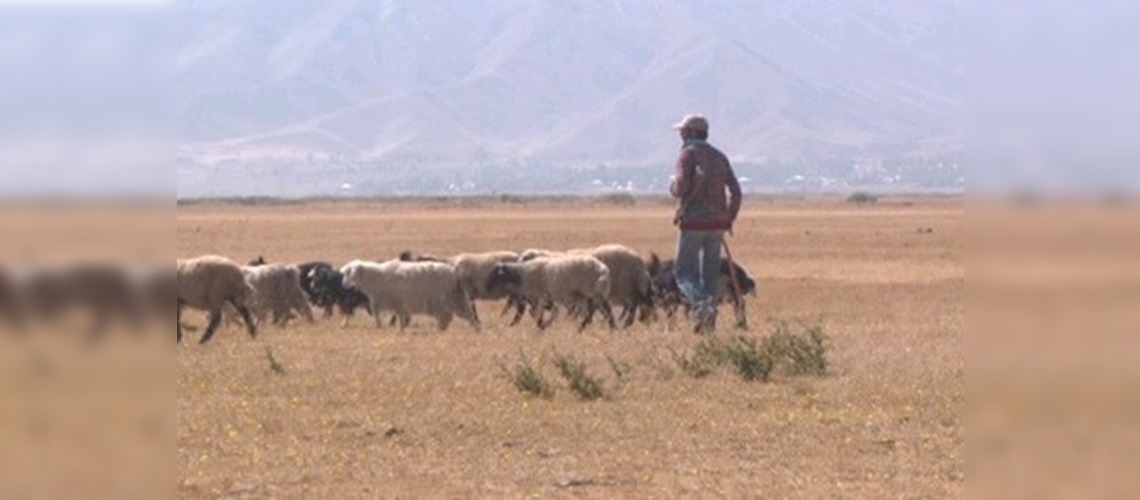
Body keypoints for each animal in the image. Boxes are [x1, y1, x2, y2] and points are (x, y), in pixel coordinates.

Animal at [339, 258, 478, 332]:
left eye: (349, 272)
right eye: (345, 273)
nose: (343, 285)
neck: (376, 277)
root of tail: (454, 272)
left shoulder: (398, 302)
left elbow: (400, 317)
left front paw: (399, 330)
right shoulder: (385, 302)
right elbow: (383, 316)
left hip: (445, 299)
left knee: (449, 316)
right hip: (456, 298)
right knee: (464, 314)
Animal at [485, 253, 620, 332]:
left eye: (495, 274)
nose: (487, 287)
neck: (522, 274)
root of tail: (603, 269)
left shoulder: (539, 295)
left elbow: (538, 313)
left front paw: (542, 326)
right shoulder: (544, 297)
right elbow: (542, 313)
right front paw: (544, 325)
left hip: (591, 292)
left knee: (596, 311)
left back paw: (583, 328)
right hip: (591, 294)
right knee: (602, 311)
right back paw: (610, 328)